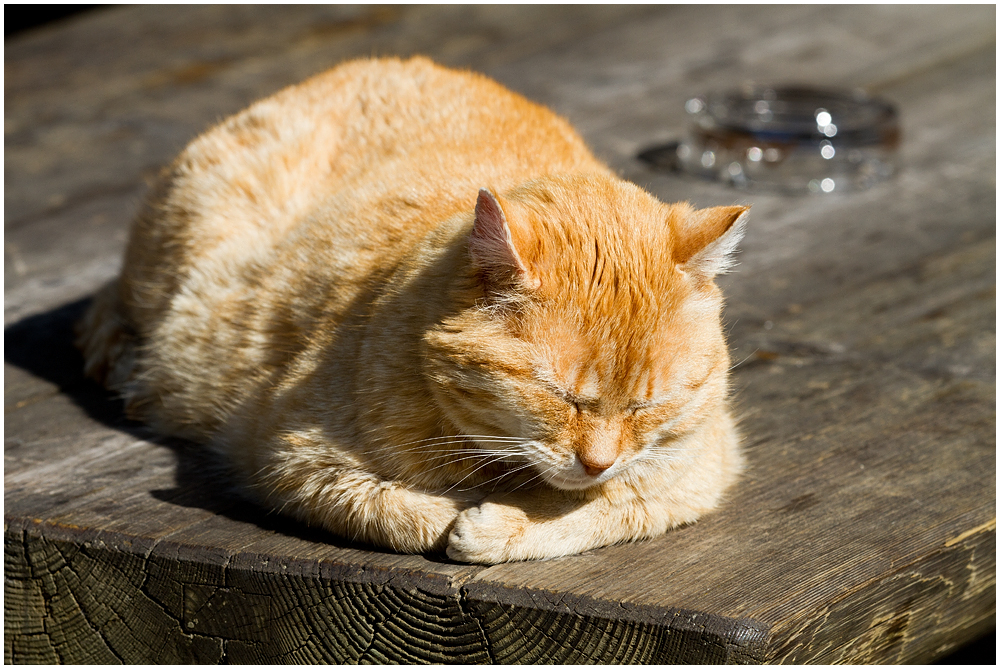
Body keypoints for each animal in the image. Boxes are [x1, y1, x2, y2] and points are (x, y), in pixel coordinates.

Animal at [78, 57, 748, 560]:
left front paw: (508, 525)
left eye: (647, 405)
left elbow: (609, 510)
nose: (596, 462)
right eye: (557, 395)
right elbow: (396, 511)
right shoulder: (288, 457)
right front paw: (462, 516)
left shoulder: (697, 469)